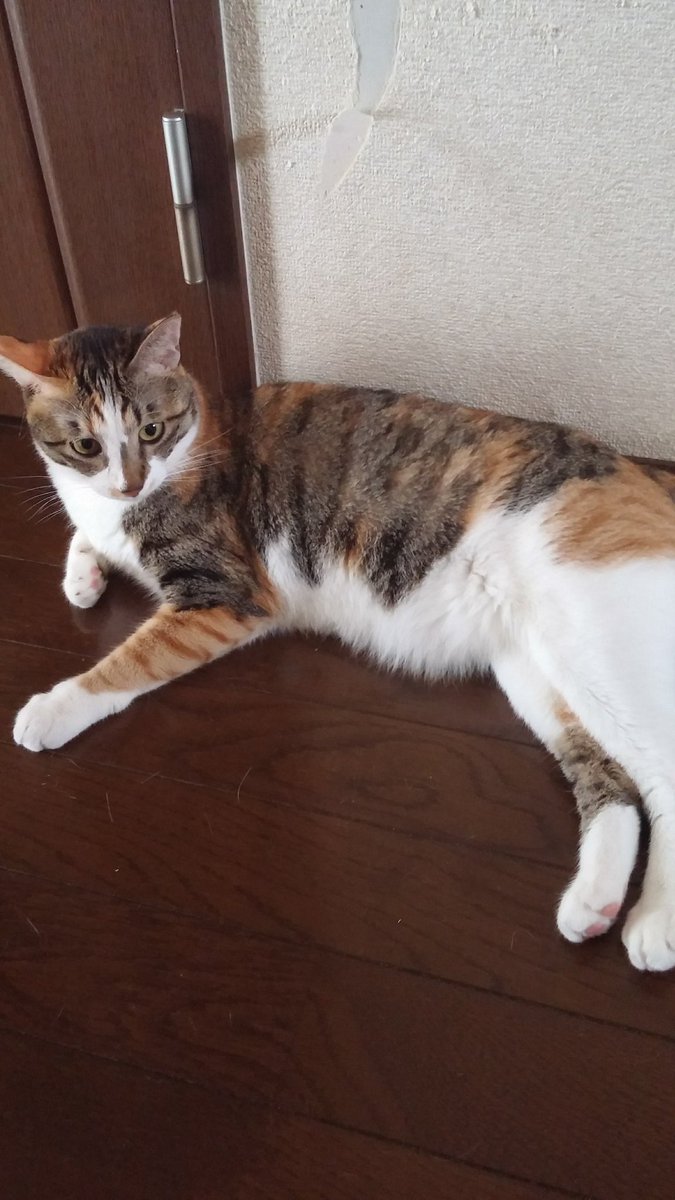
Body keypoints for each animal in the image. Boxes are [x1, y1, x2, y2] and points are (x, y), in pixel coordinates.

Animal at [2, 312, 675, 972]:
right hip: (536, 667)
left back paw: (655, 923)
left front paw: (52, 709)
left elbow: (129, 661)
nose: (129, 485)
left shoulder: (224, 595)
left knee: (662, 770)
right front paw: (82, 579)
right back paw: (593, 904)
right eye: (86, 446)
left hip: (593, 639)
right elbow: (83, 537)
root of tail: (642, 473)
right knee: (614, 783)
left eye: (151, 429)